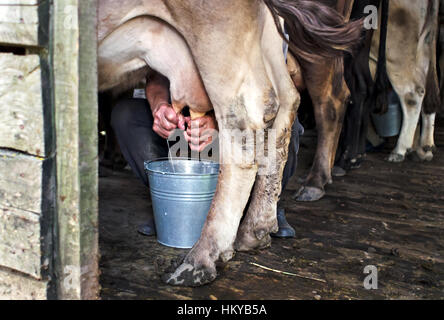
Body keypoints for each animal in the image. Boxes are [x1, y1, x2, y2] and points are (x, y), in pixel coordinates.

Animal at [96, 0, 360, 284]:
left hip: (219, 36)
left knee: (276, 113)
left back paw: (201, 259)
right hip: (267, 38)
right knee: (286, 101)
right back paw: (255, 230)